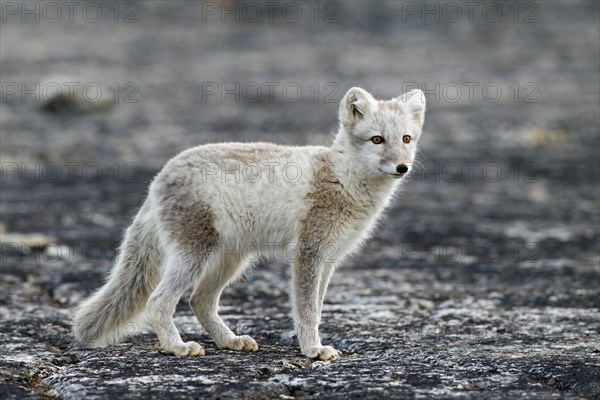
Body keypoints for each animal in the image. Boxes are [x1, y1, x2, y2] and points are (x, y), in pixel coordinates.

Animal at [74, 86, 426, 360]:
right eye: (377, 140)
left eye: (406, 138)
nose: (402, 167)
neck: (342, 177)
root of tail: (158, 177)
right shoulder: (308, 254)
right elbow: (306, 311)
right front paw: (312, 350)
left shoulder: (329, 260)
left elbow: (316, 309)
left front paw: (313, 346)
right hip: (194, 255)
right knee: (159, 302)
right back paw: (178, 347)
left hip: (231, 260)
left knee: (199, 301)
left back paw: (229, 341)